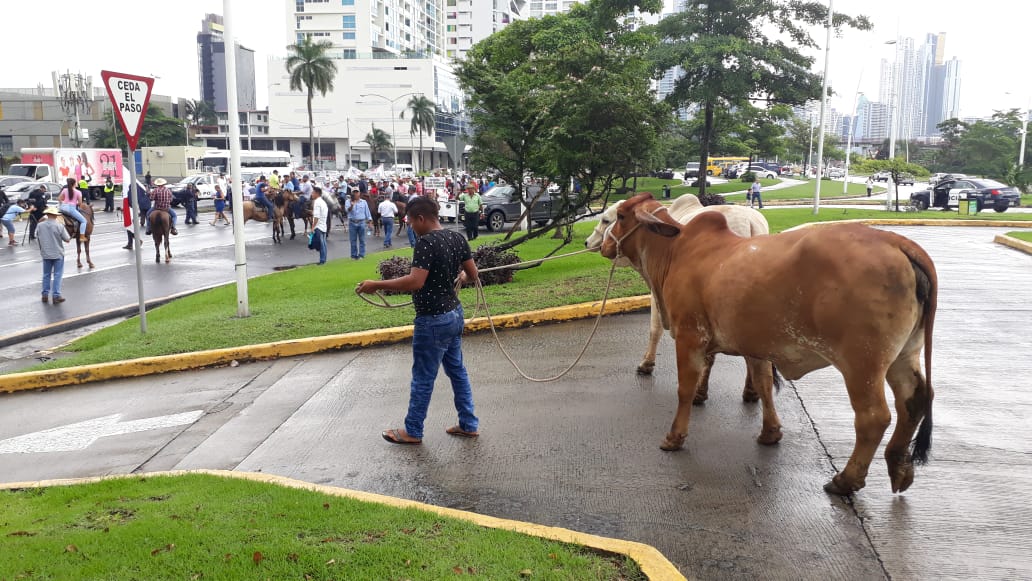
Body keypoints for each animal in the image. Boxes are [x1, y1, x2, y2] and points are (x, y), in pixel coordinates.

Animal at [602, 194, 941, 495]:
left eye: (619, 216)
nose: (604, 245)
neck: (675, 251)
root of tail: (899, 244)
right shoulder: (754, 345)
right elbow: (764, 384)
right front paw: (770, 432)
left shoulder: (690, 336)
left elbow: (685, 389)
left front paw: (674, 437)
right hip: (904, 354)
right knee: (914, 399)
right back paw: (899, 466)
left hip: (863, 362)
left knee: (874, 417)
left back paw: (846, 480)